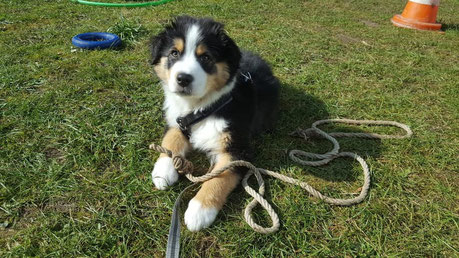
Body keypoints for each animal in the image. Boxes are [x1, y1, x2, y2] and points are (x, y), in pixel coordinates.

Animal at [151, 15, 280, 231]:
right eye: (174, 53)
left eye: (205, 57)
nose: (183, 79)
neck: (201, 107)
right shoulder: (179, 120)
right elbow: (171, 139)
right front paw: (163, 171)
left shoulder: (238, 149)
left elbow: (219, 177)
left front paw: (199, 211)